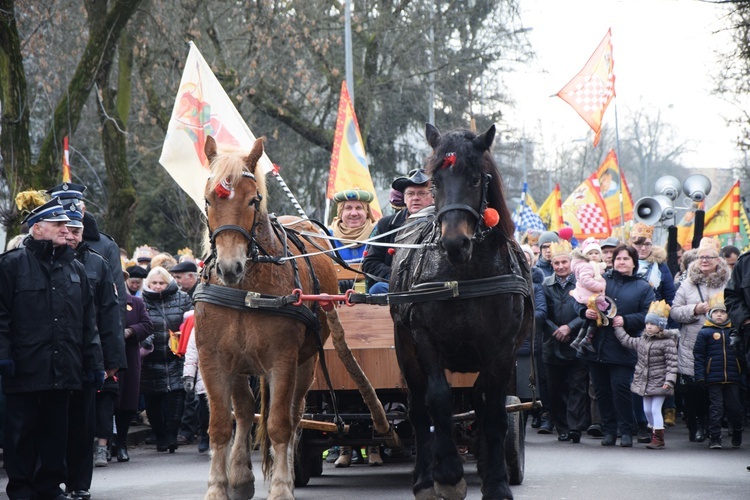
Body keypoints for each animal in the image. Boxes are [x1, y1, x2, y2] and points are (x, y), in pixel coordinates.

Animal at [195, 135, 336, 498]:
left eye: (253, 200)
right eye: (208, 200)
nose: (230, 267)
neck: (248, 291)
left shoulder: (283, 361)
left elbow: (279, 424)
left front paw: (282, 486)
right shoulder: (213, 359)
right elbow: (220, 425)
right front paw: (218, 487)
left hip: (306, 363)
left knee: (293, 414)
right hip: (240, 364)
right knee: (245, 411)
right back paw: (240, 475)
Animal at [394, 123, 536, 498]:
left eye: (475, 179)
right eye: (435, 182)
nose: (454, 243)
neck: (463, 276)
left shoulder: (502, 348)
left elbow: (494, 409)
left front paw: (497, 481)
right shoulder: (424, 339)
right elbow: (438, 400)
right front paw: (447, 475)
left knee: (481, 401)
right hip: (405, 349)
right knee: (419, 410)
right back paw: (424, 478)